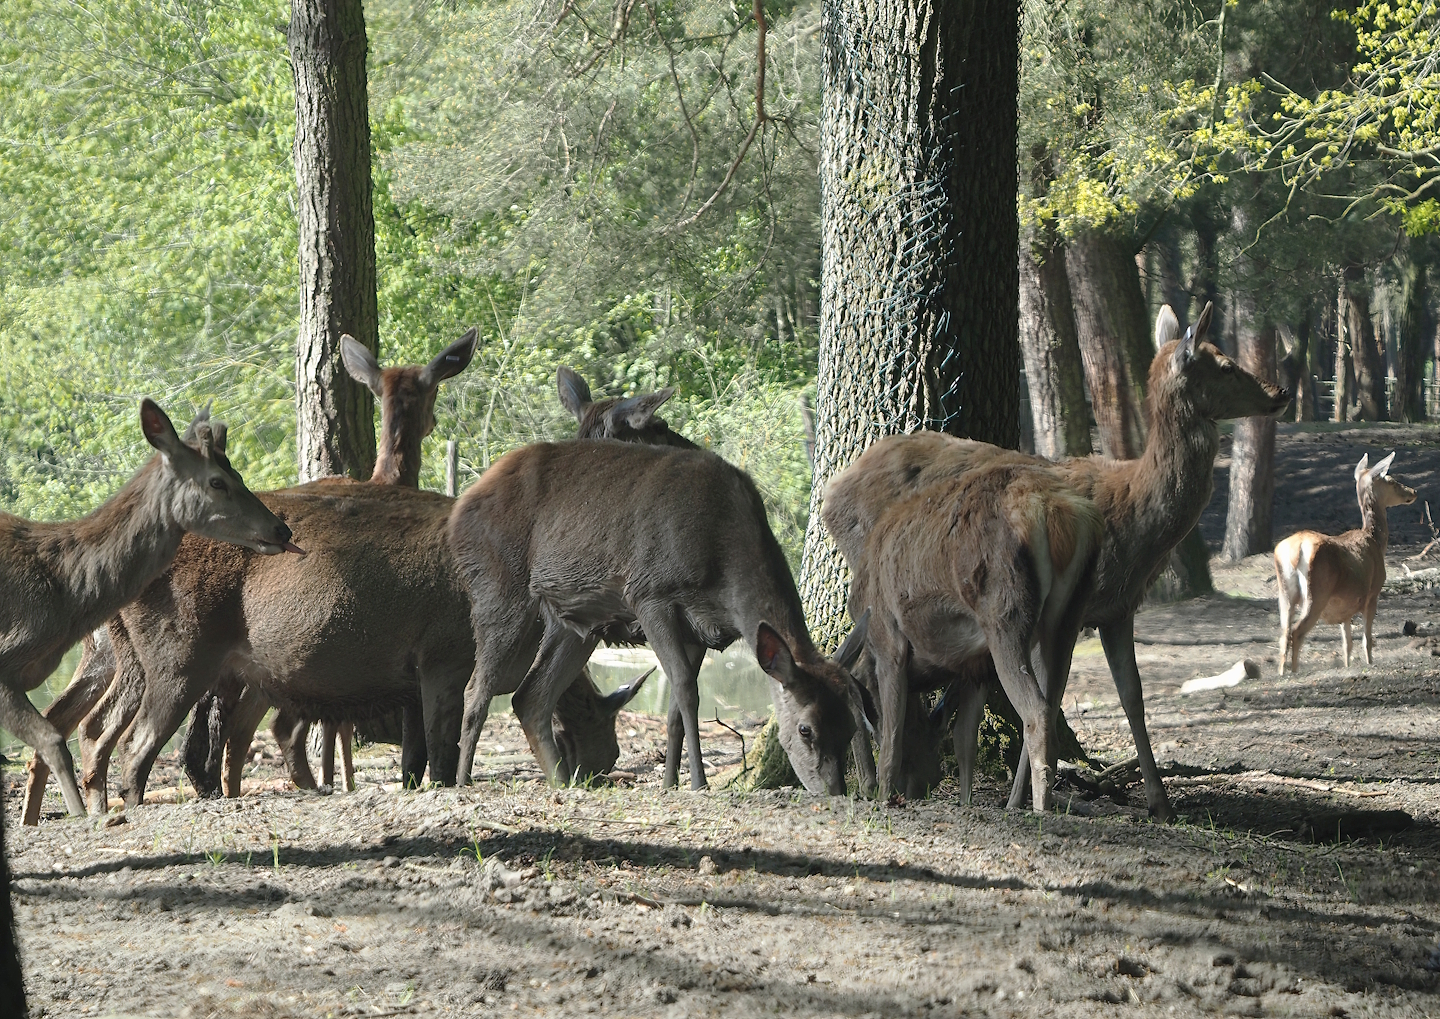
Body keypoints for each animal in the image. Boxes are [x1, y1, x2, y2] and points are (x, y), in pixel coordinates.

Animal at [447, 439, 873, 794]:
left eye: (854, 721)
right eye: (806, 730)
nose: (835, 790)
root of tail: (459, 507)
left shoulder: (699, 630)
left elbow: (674, 707)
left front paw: (669, 782)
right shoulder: (650, 594)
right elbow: (686, 689)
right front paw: (697, 783)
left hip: (578, 620)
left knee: (530, 696)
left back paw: (562, 781)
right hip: (498, 588)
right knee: (476, 689)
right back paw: (461, 780)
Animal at [831, 460, 1103, 809]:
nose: (920, 787)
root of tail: (1055, 512)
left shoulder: (888, 640)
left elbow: (892, 736)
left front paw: (882, 796)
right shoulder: (976, 665)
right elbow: (964, 740)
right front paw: (965, 801)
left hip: (1004, 611)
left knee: (1037, 711)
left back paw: (1041, 808)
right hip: (1070, 613)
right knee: (1050, 704)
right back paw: (1015, 802)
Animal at [1275, 452, 1416, 674]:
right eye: (1392, 480)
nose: (1413, 491)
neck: (1376, 542)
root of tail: (1295, 550)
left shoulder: (1345, 607)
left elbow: (1346, 644)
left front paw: (1347, 665)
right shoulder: (1373, 593)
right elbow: (1366, 640)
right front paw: (1369, 663)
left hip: (1285, 592)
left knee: (1283, 633)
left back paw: (1281, 673)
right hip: (1317, 592)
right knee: (1296, 632)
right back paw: (1294, 671)